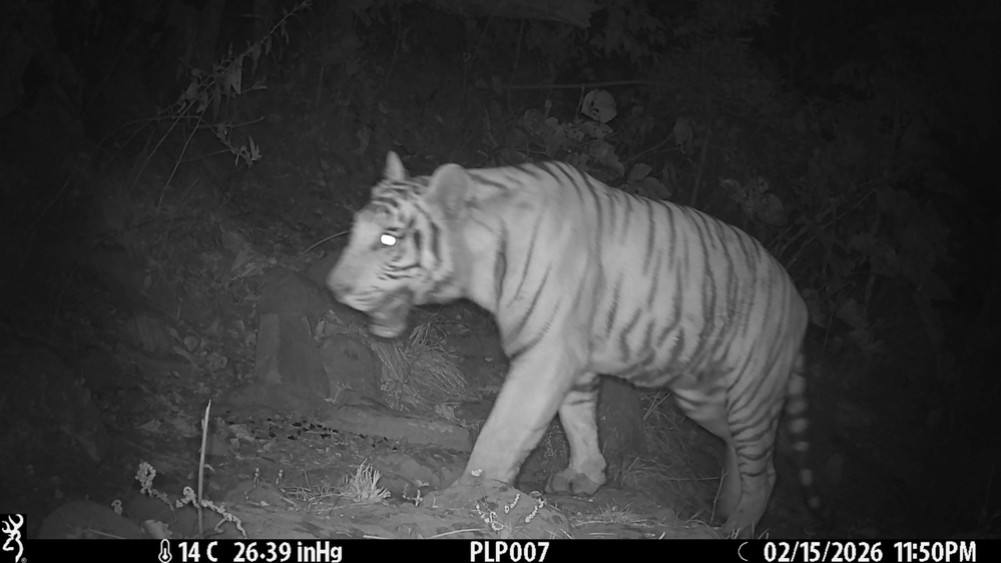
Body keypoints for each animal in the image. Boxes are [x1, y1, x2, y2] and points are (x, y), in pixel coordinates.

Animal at [327, 151, 825, 537]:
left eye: (388, 238)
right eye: (357, 229)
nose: (335, 288)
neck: (481, 259)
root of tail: (800, 300)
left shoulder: (547, 353)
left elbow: (504, 429)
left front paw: (465, 495)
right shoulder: (570, 358)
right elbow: (578, 419)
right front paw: (585, 477)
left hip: (751, 392)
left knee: (766, 465)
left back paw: (739, 525)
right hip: (701, 395)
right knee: (737, 447)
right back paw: (725, 506)